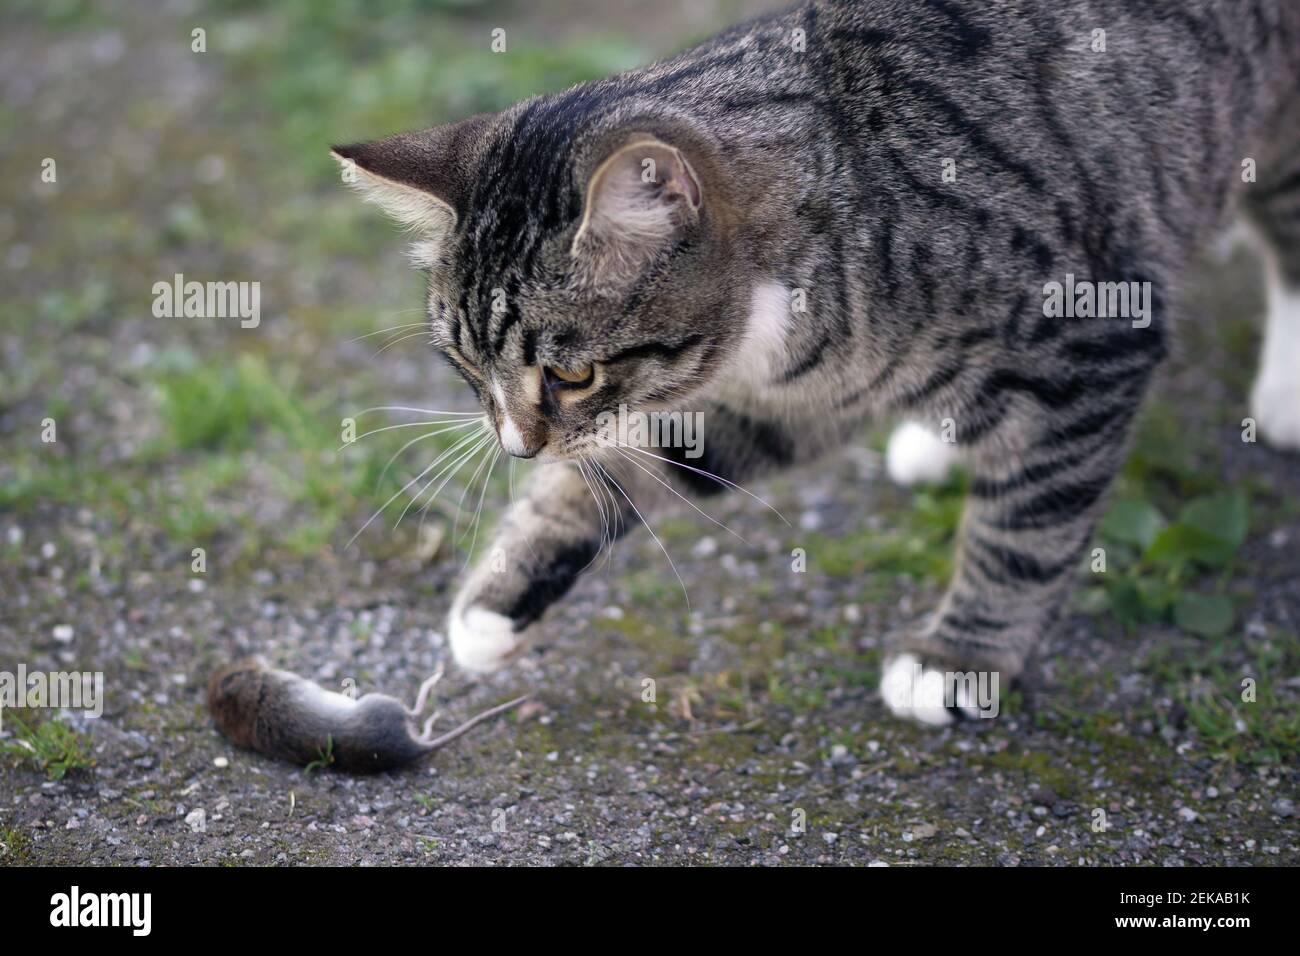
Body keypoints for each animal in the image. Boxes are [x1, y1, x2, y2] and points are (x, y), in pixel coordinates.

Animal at [332, 0, 1300, 723]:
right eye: (467, 369)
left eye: (572, 376)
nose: (513, 445)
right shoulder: (787, 393)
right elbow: (627, 467)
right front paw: (499, 598)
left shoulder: (1091, 337)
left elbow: (1026, 527)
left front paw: (960, 658)